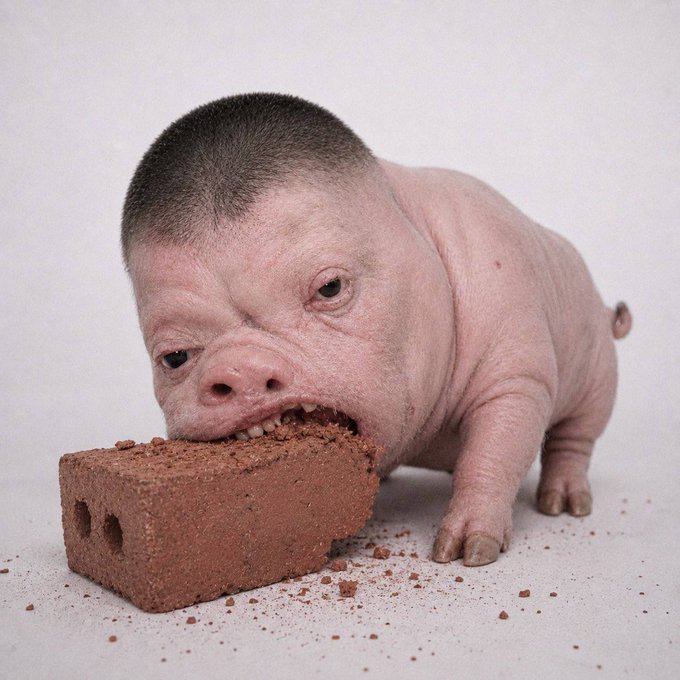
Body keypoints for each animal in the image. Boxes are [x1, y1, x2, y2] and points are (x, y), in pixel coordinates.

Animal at [123, 93, 631, 567]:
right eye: (174, 356)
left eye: (330, 288)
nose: (241, 370)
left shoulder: (517, 364)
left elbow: (496, 448)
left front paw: (465, 552)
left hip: (599, 376)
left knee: (575, 438)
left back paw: (564, 505)